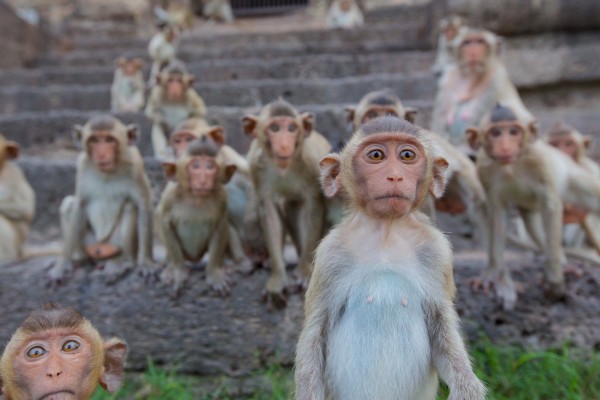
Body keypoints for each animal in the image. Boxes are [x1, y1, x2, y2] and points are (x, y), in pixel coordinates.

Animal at [49, 115, 156, 282]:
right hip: (90, 243)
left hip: (114, 244)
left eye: (109, 139)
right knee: (69, 204)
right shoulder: (82, 165)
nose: (101, 154)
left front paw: (145, 263)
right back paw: (80, 259)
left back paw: (123, 261)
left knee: (129, 206)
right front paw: (63, 263)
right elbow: (79, 205)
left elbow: (143, 206)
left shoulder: (136, 164)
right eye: (94, 140)